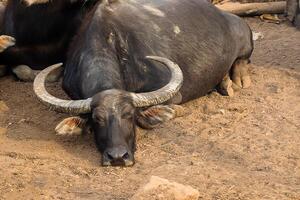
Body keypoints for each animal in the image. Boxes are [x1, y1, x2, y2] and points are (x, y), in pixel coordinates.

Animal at [33, 0, 253, 166]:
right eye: (97, 119)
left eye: (129, 115)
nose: (118, 157)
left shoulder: (175, 94)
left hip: (245, 39)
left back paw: (235, 82)